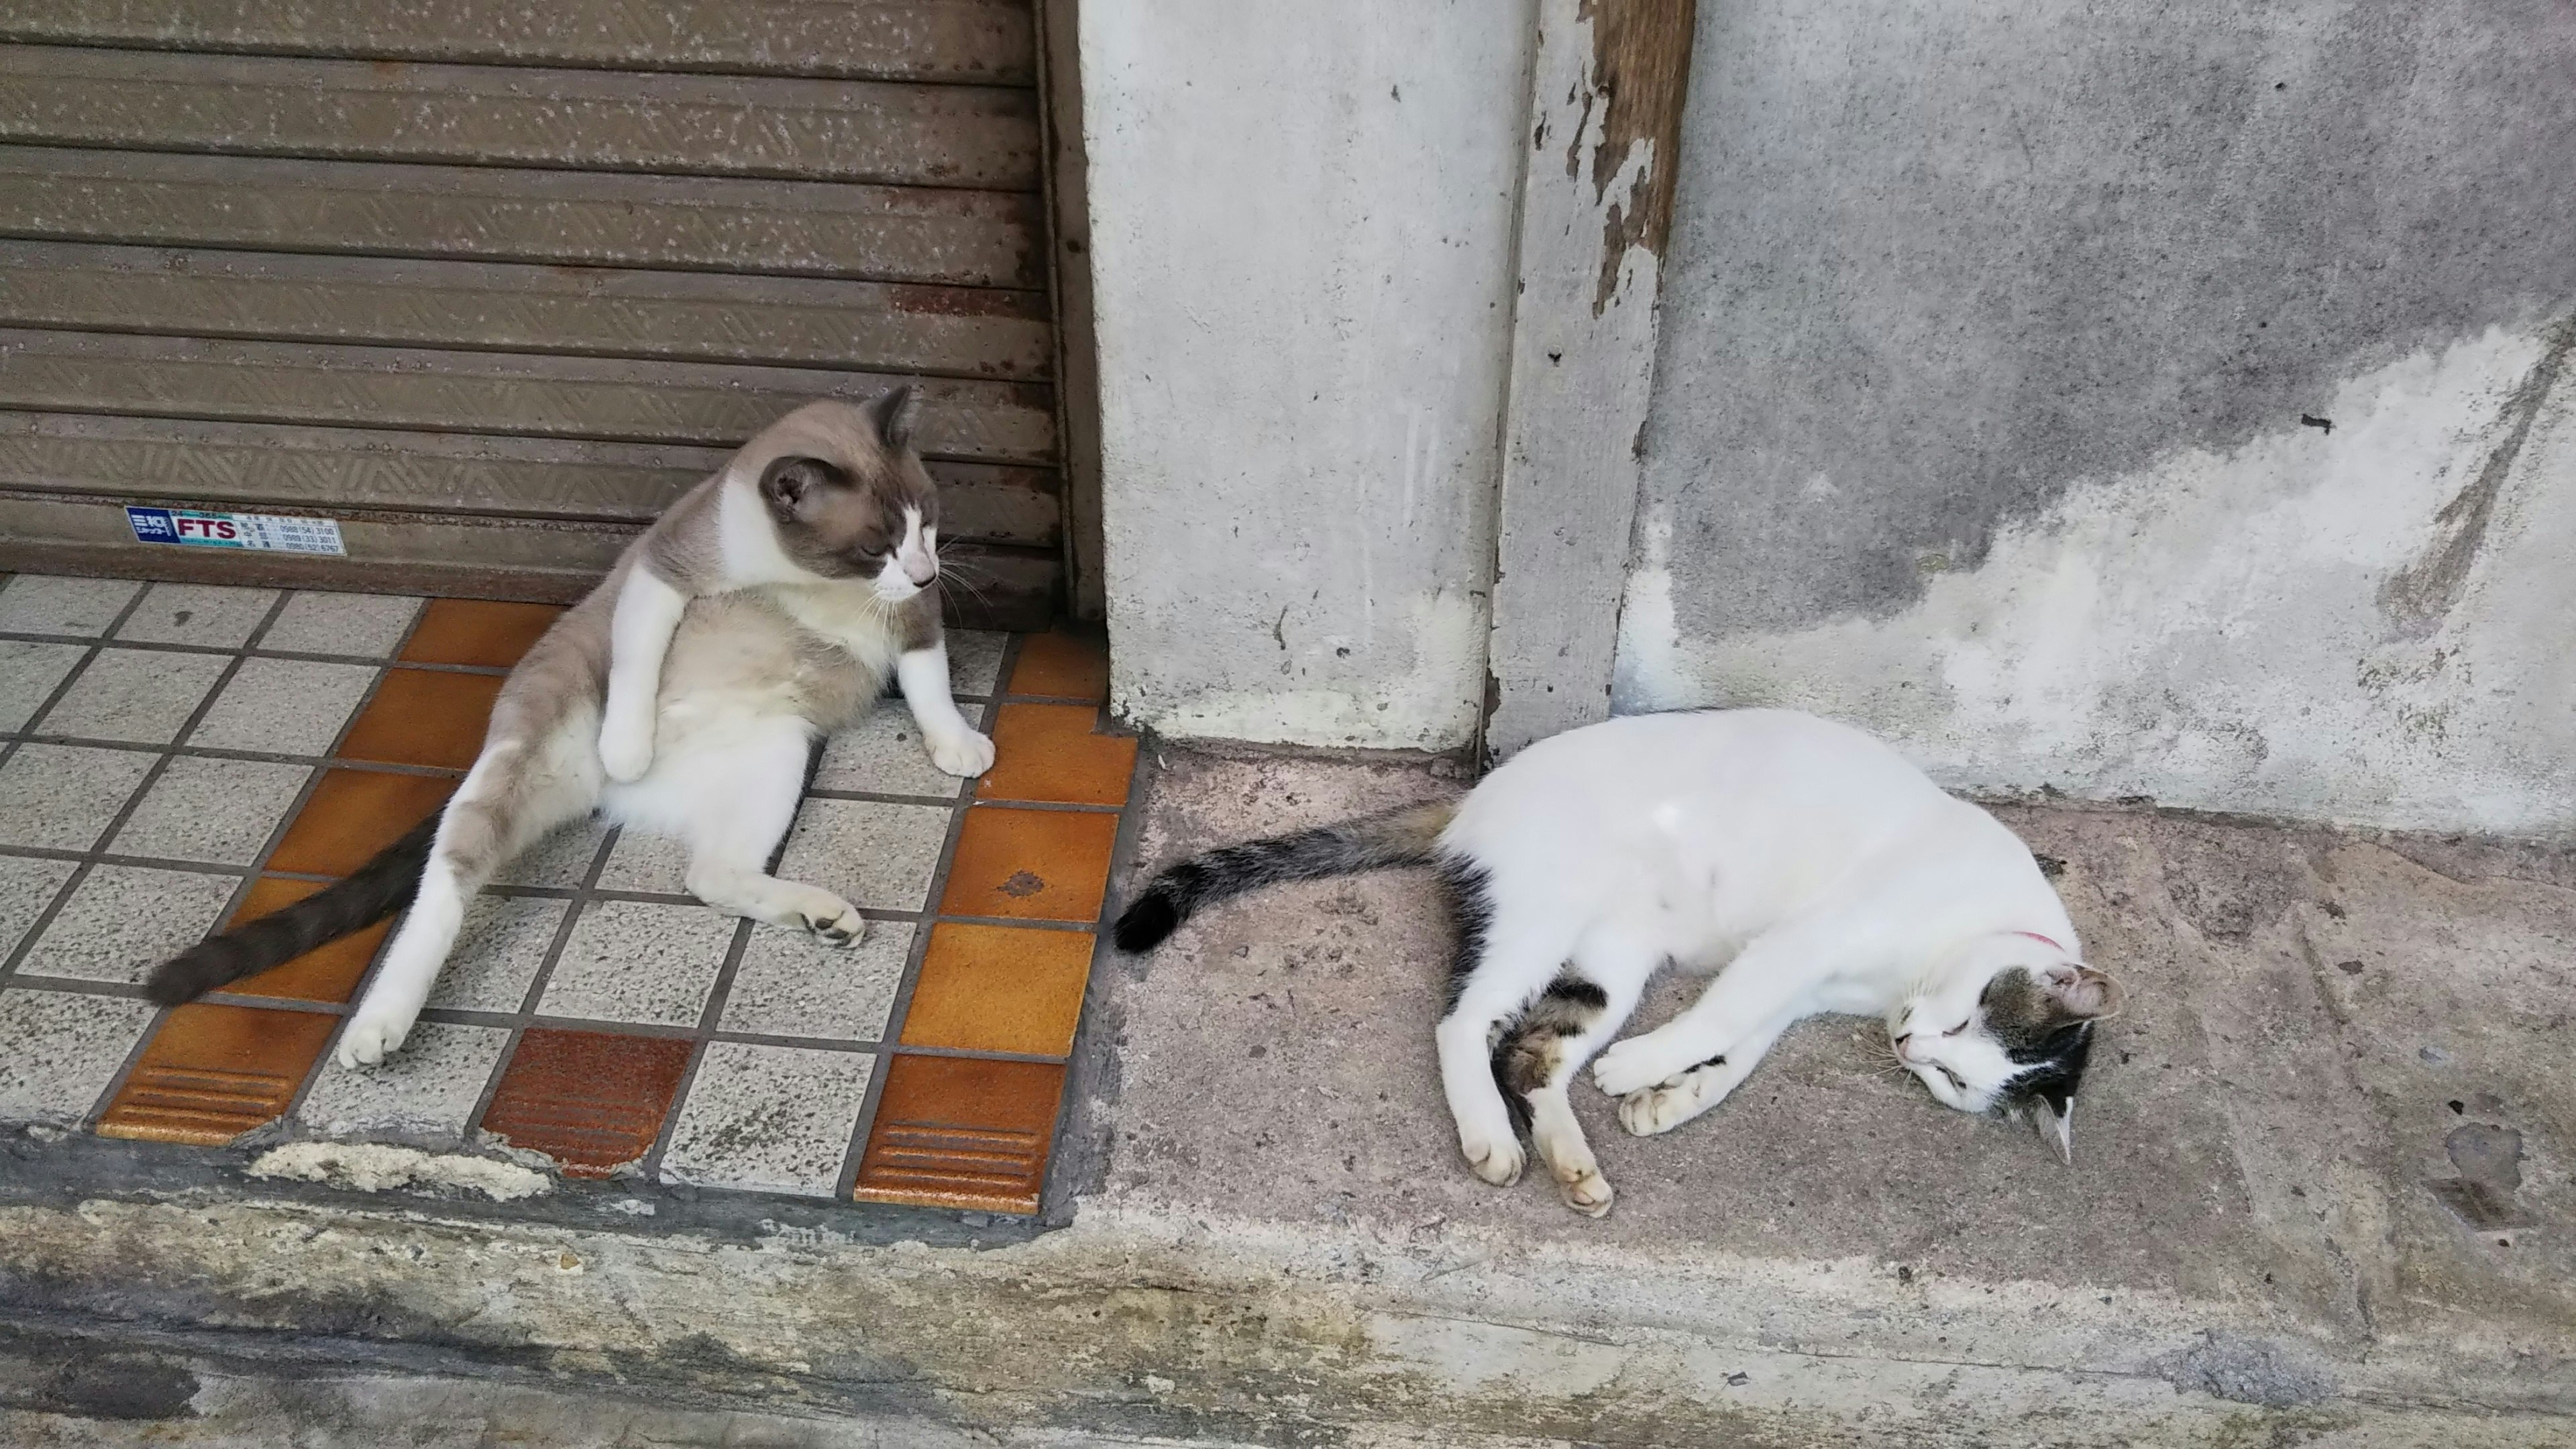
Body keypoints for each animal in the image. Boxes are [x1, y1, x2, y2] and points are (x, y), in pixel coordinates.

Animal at [148, 389, 994, 1067]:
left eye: (927, 525)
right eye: (874, 547)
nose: (923, 568)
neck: (808, 580)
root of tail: (597, 796)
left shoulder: (916, 620)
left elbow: (929, 686)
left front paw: (956, 745)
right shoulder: (663, 569)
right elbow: (640, 655)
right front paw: (628, 741)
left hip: (777, 755)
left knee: (709, 875)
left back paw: (822, 917)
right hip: (519, 755)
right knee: (444, 884)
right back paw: (378, 1026)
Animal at [1118, 706, 2123, 1212]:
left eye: (1955, 1078)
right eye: (1964, 1019)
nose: (1913, 1050)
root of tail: (1478, 794)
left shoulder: (1802, 984)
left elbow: (1740, 1051)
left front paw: (1671, 1099)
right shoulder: (1805, 942)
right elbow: (1724, 1015)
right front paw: (1646, 1069)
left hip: (1610, 959)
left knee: (1536, 1052)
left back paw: (1571, 1160)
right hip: (1540, 912)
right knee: (1464, 1022)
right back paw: (1492, 1137)